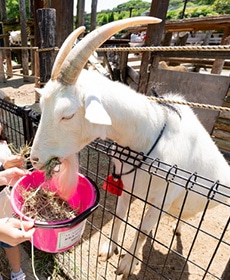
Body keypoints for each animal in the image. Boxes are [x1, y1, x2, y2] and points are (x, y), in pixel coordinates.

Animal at [30, 17, 230, 278]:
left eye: (68, 114)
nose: (34, 159)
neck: (148, 138)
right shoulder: (126, 185)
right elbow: (120, 215)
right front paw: (109, 249)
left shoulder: (162, 199)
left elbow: (143, 230)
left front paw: (126, 264)